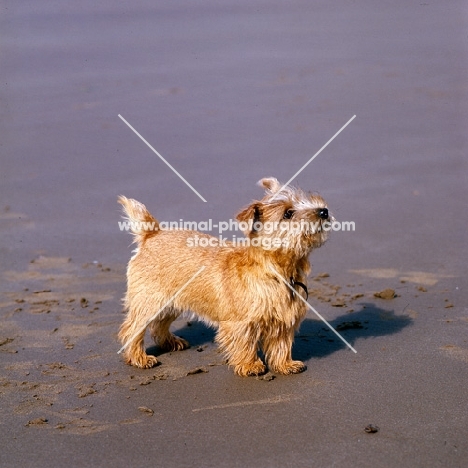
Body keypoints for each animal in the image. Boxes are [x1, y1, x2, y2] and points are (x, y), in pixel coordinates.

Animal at [119, 177, 332, 378]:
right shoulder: (240, 323)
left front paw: (285, 365)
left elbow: (281, 344)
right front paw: (250, 365)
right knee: (133, 328)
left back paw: (171, 342)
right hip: (149, 301)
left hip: (172, 302)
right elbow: (245, 343)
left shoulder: (284, 320)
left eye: (306, 200)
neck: (278, 270)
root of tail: (152, 234)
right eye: (288, 213)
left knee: (159, 325)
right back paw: (139, 357)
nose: (323, 211)